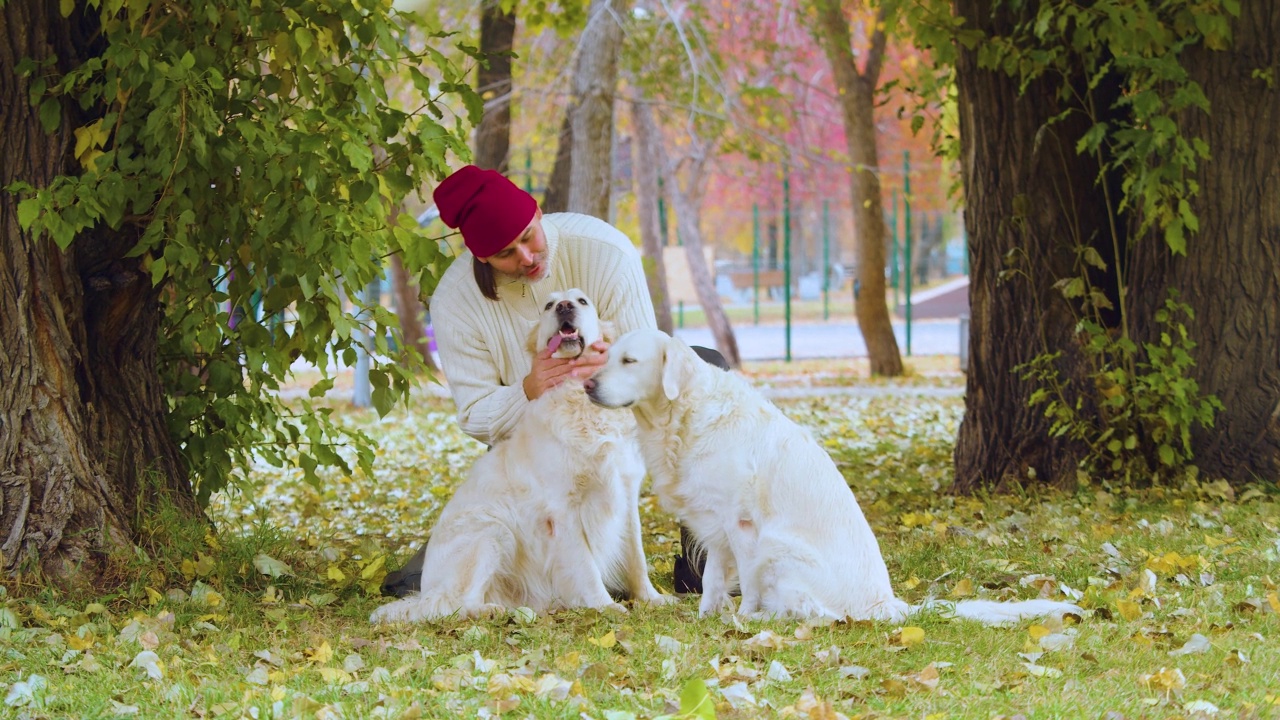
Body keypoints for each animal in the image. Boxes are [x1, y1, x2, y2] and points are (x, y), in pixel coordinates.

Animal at [368, 288, 670, 620]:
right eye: (549, 305)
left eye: (582, 301)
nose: (564, 307)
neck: (581, 401)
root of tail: (426, 589)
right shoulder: (563, 509)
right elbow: (586, 566)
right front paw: (603, 605)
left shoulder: (625, 495)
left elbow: (637, 558)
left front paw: (651, 597)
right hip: (492, 531)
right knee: (454, 604)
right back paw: (493, 611)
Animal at [586, 326, 1080, 622]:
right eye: (606, 357)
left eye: (629, 361)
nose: (588, 384)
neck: (681, 416)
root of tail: (886, 603)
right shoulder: (713, 525)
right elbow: (711, 579)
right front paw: (708, 616)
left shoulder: (741, 524)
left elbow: (745, 582)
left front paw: (742, 619)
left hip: (777, 546)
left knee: (822, 614)